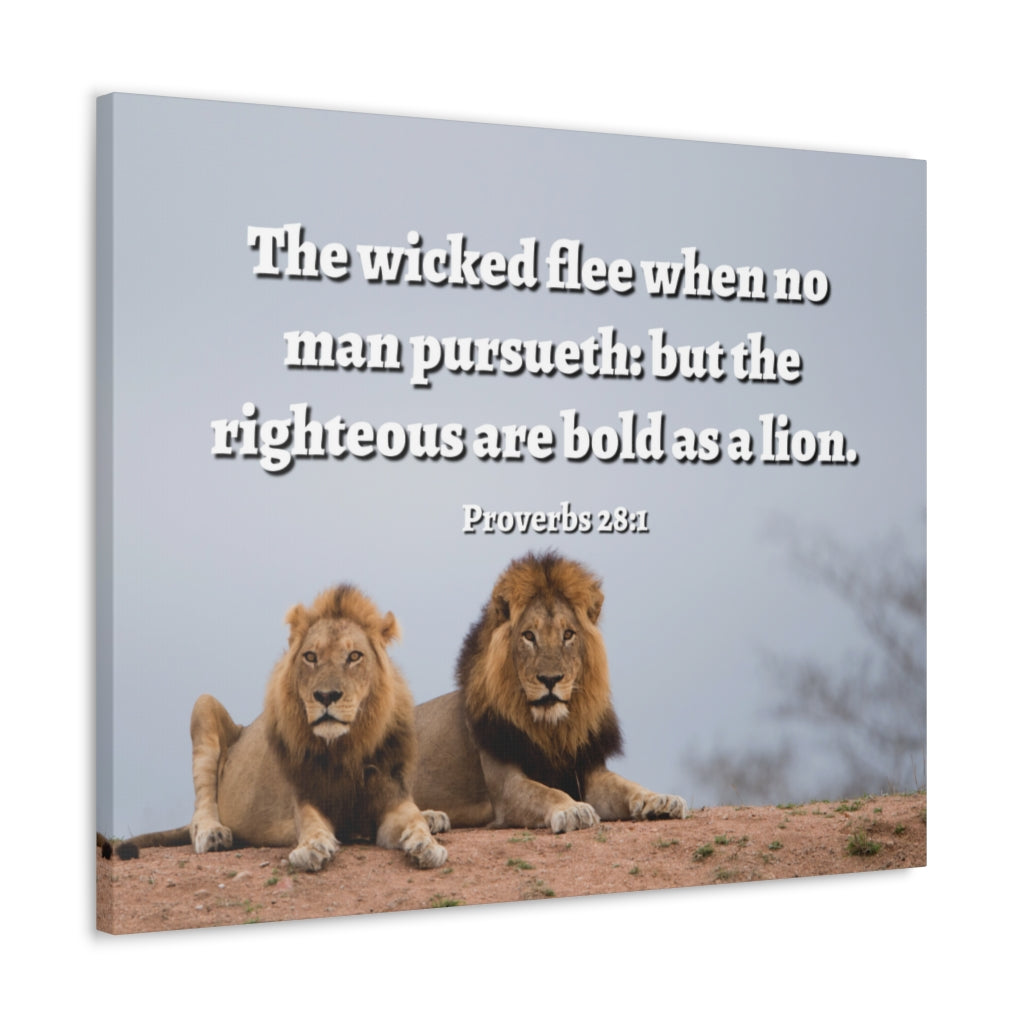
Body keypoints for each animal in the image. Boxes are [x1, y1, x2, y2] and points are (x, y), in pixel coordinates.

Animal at [115, 584, 448, 871]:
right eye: (310, 657)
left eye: (354, 656)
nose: (326, 696)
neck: (345, 748)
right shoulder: (306, 797)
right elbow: (312, 824)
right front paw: (312, 848)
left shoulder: (392, 796)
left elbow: (413, 820)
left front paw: (427, 844)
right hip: (204, 704)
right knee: (201, 808)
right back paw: (213, 833)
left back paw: (434, 816)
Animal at [413, 551, 686, 833]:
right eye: (528, 636)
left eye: (568, 634)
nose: (550, 679)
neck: (552, 730)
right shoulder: (506, 787)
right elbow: (546, 792)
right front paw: (573, 809)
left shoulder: (587, 771)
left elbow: (626, 784)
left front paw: (660, 800)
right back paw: (432, 818)